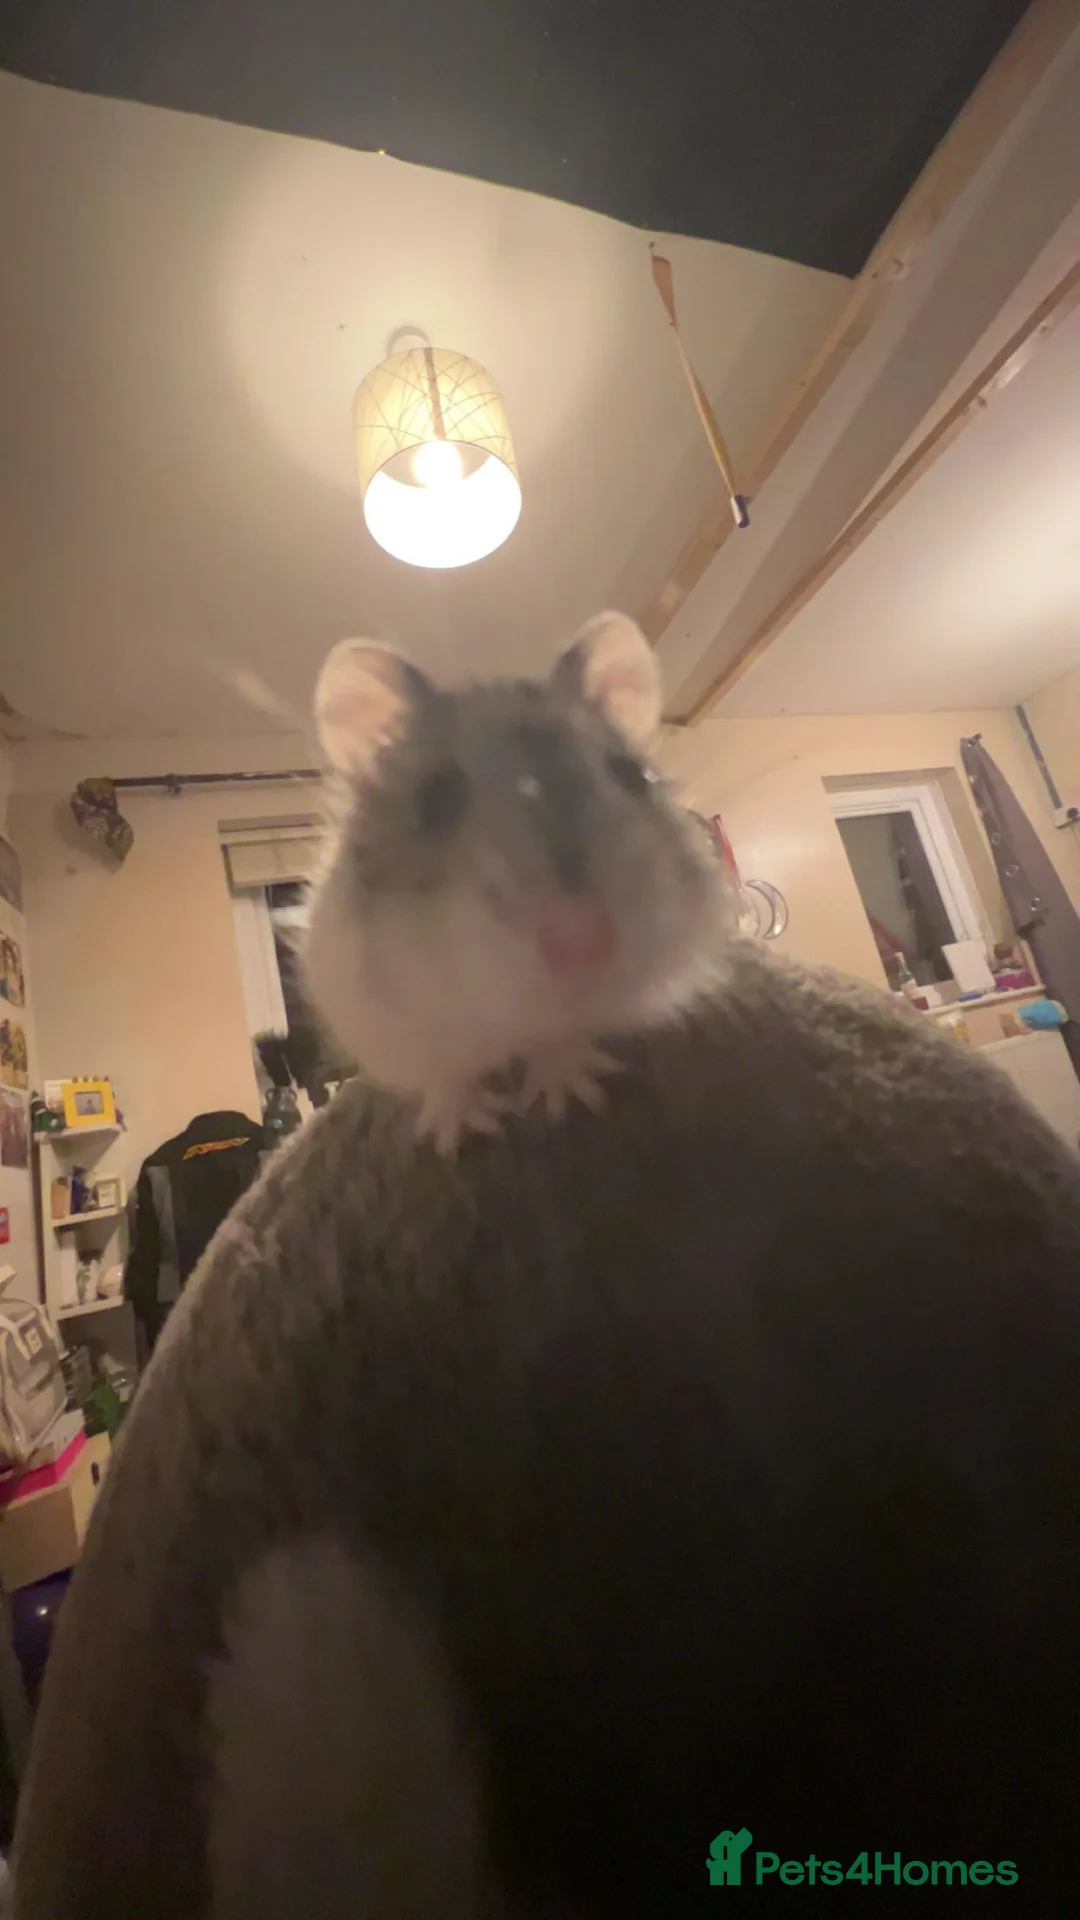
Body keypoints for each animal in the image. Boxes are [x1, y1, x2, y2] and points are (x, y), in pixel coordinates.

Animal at [304, 612, 727, 1152]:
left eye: (633, 775)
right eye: (434, 800)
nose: (584, 945)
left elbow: (562, 1039)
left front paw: (570, 1094)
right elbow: (444, 1071)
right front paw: (458, 1133)